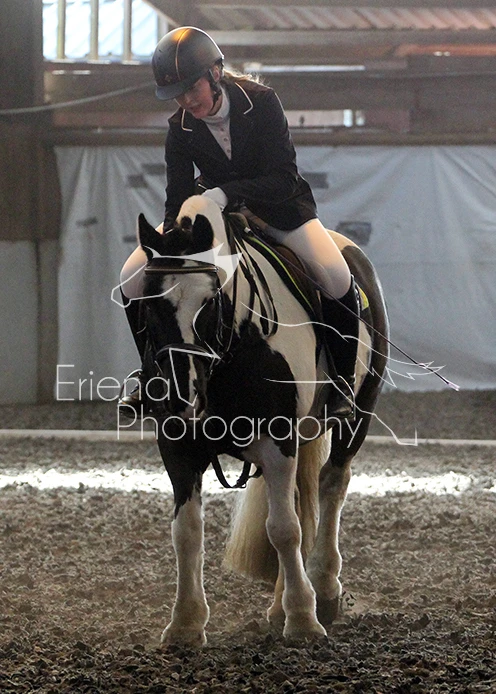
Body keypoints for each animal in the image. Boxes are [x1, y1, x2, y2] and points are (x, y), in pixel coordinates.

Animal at [132, 194, 389, 646]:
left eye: (210, 301)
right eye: (149, 303)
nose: (180, 394)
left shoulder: (277, 439)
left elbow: (284, 529)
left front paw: (303, 619)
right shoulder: (177, 443)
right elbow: (187, 532)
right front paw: (185, 624)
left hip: (358, 413)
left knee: (331, 484)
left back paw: (323, 588)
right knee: (300, 497)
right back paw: (283, 602)